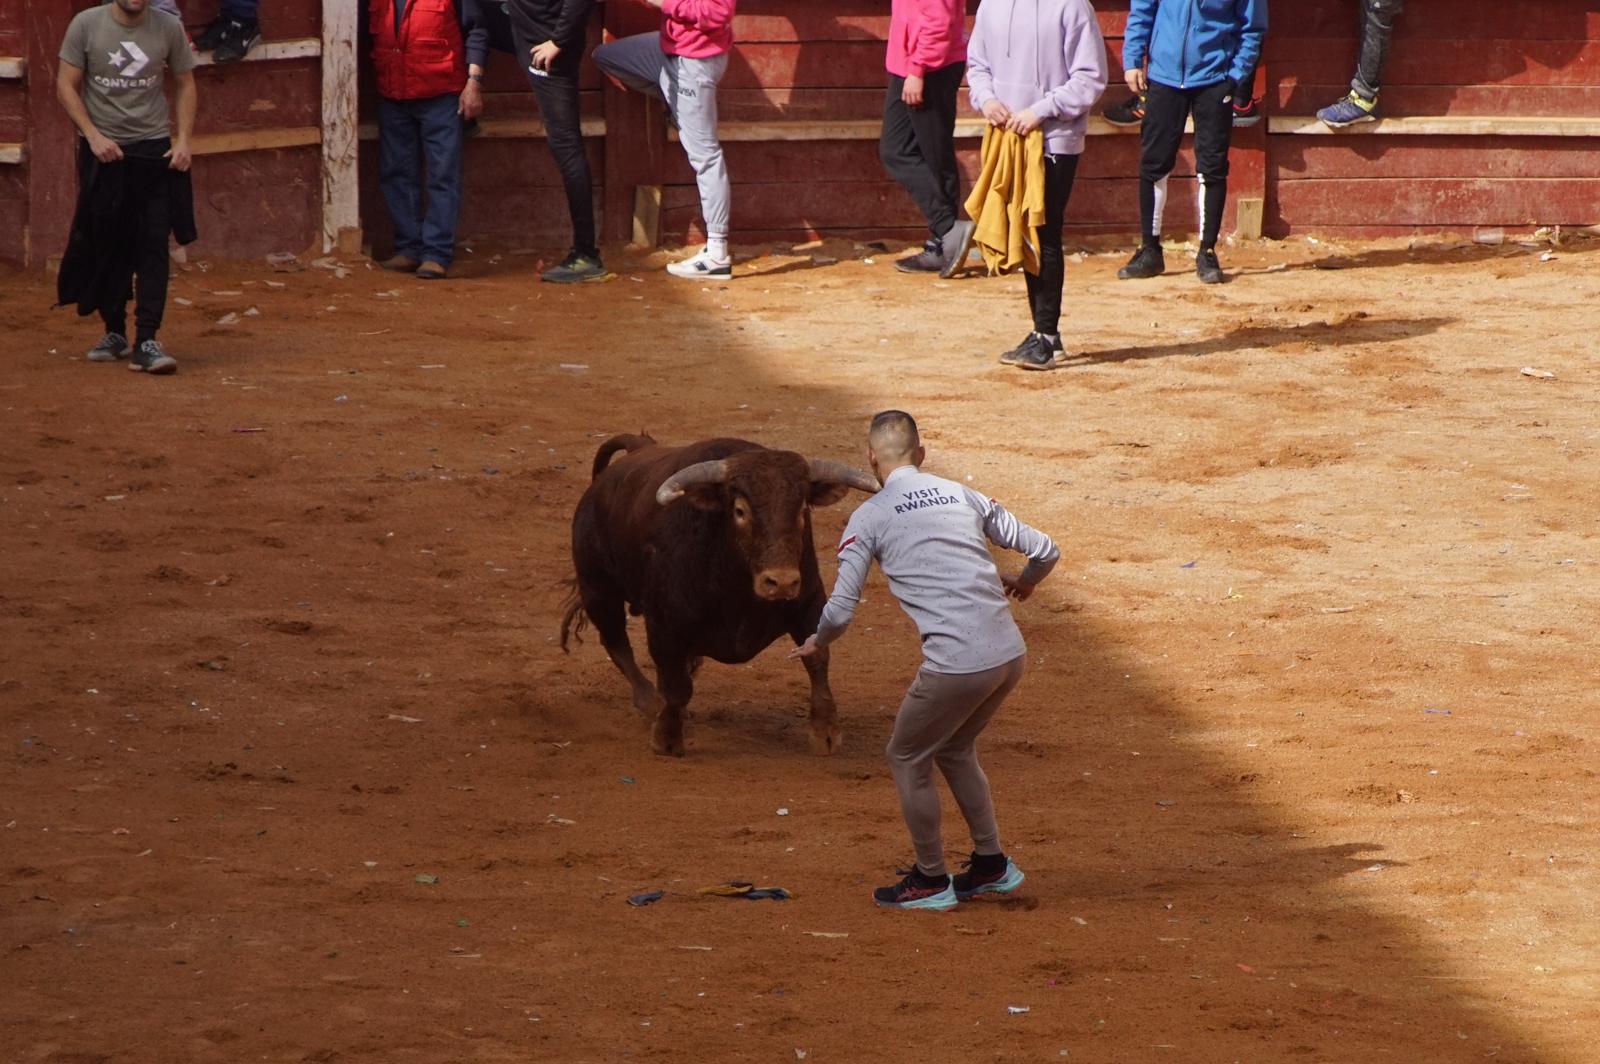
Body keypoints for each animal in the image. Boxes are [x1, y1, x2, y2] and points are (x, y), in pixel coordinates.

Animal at [563, 435, 883, 755]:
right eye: (740, 511)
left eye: (802, 508)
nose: (780, 582)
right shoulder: (664, 624)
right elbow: (677, 685)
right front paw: (667, 737)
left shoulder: (809, 602)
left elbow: (817, 657)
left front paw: (825, 732)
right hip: (598, 589)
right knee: (617, 642)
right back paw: (651, 703)